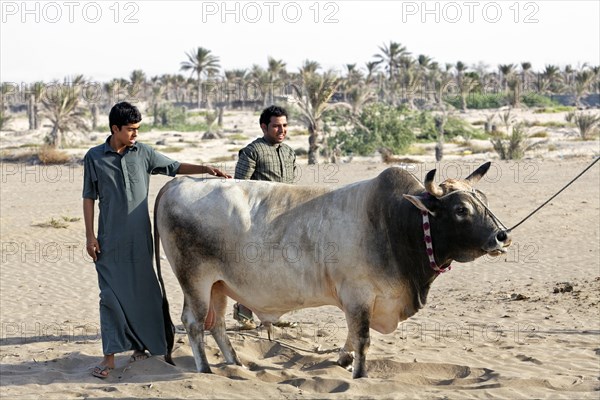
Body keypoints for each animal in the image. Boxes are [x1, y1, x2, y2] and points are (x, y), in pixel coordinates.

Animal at [155, 161, 510, 376]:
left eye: (483, 199)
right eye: (461, 209)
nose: (501, 235)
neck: (393, 221)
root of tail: (177, 183)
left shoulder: (360, 301)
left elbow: (352, 336)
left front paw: (342, 360)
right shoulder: (358, 296)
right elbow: (362, 338)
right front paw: (360, 374)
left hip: (218, 285)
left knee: (215, 324)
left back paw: (235, 363)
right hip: (196, 281)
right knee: (194, 323)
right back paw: (205, 369)